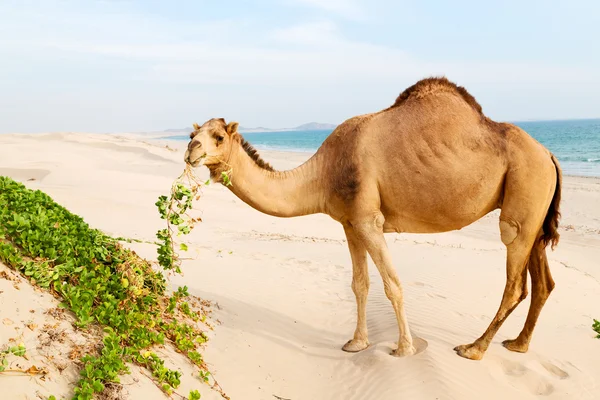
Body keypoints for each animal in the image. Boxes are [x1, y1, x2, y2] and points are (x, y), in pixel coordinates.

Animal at [184, 76, 564, 360]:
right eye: (192, 134)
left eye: (218, 136)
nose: (191, 150)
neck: (324, 171)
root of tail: (549, 154)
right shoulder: (349, 223)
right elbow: (360, 284)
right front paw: (356, 343)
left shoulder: (369, 220)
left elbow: (392, 284)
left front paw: (404, 348)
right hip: (535, 214)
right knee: (543, 281)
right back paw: (518, 344)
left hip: (523, 198)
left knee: (515, 282)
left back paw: (474, 348)